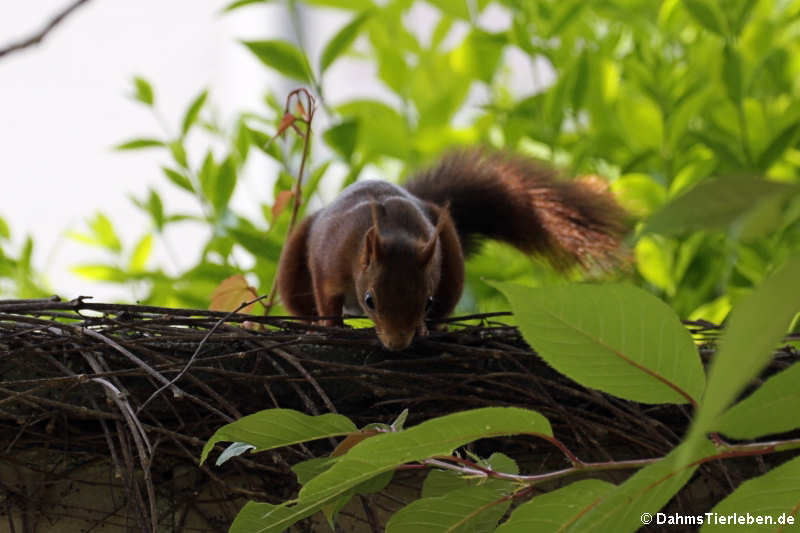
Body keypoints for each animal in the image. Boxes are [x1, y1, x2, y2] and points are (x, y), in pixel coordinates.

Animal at [278, 150, 628, 350]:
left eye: (427, 301)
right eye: (370, 300)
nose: (397, 343)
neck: (390, 231)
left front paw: (421, 328)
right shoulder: (329, 263)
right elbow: (327, 300)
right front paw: (330, 327)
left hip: (452, 261)